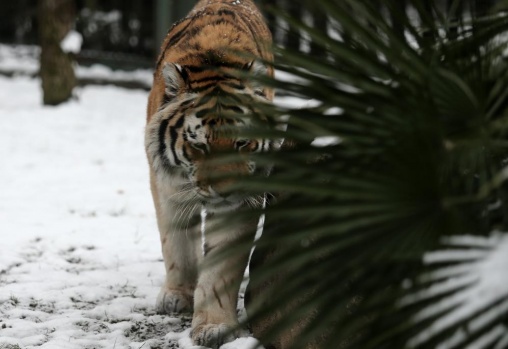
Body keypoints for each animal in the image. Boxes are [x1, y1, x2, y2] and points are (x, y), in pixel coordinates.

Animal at [144, 1, 274, 346]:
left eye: (243, 142)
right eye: (199, 145)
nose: (226, 191)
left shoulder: (241, 202)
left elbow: (221, 267)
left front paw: (214, 326)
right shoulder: (167, 186)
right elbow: (176, 243)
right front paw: (177, 295)